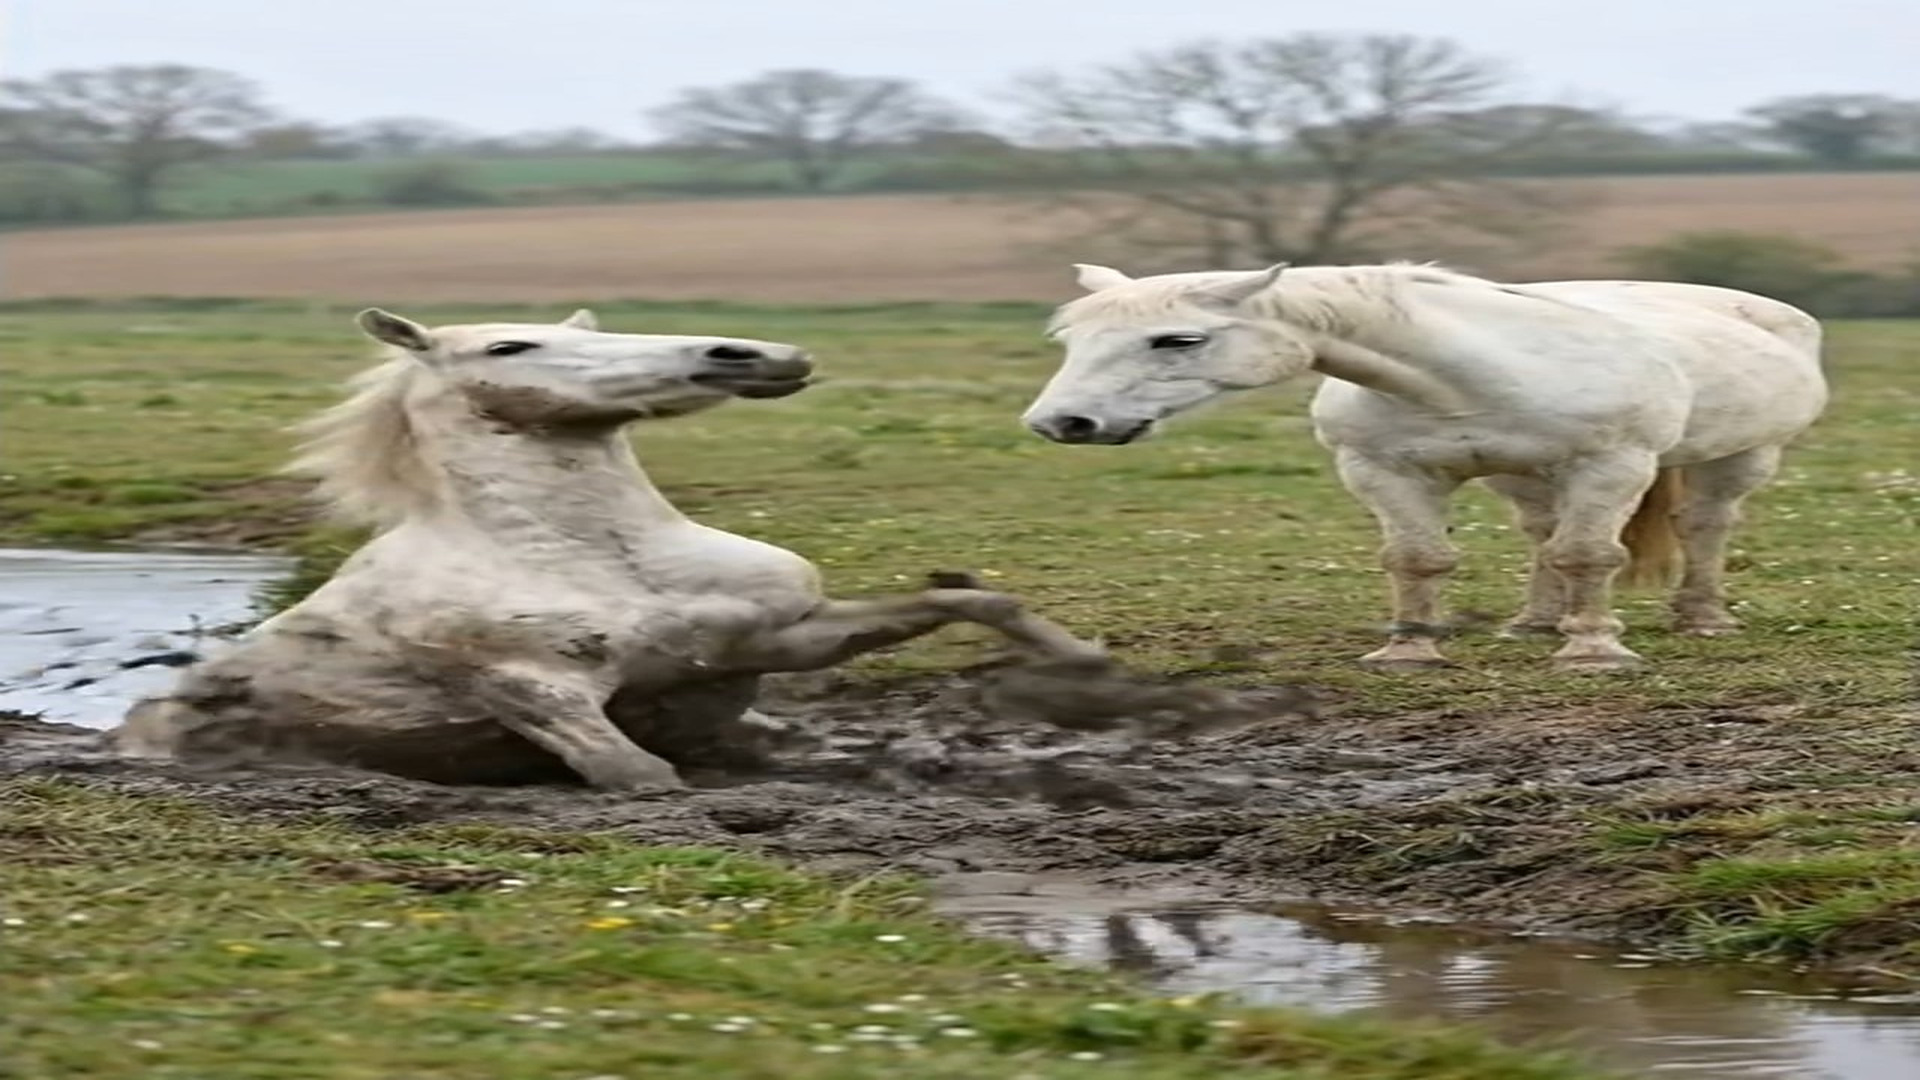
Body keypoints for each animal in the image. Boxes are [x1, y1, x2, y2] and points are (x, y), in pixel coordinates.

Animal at [109, 307, 1108, 789]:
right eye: (510, 348)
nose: (749, 356)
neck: (600, 558)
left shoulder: (777, 636)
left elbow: (968, 599)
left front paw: (1085, 664)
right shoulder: (536, 688)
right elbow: (637, 775)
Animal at [1020, 262, 1828, 671]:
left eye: (1177, 339)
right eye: (1070, 339)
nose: (1063, 423)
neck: (1461, 378)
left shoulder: (1611, 466)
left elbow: (1591, 556)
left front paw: (1595, 650)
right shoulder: (1384, 474)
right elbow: (1416, 560)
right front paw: (1408, 650)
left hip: (1740, 458)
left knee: (1703, 527)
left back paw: (1703, 619)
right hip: (1521, 477)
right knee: (1542, 538)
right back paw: (1535, 622)